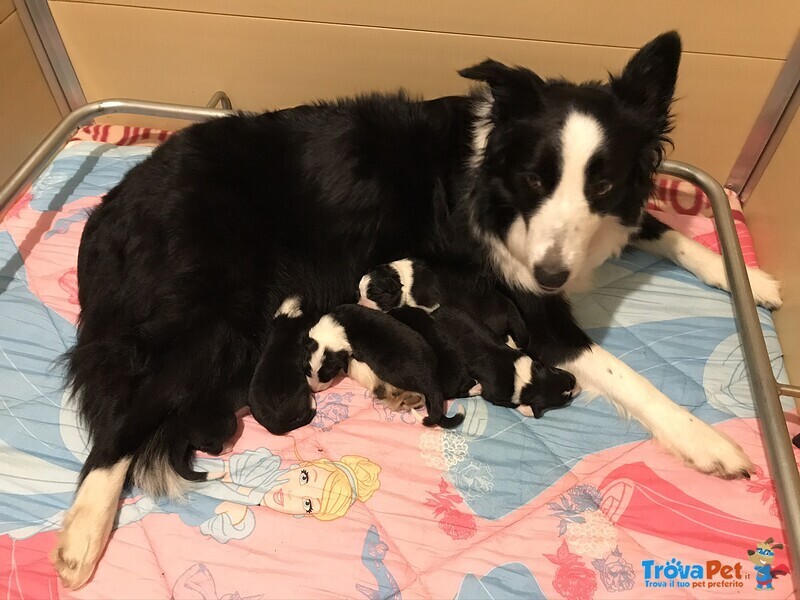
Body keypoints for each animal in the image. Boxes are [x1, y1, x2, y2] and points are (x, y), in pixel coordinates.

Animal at [360, 256, 528, 346]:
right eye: (359, 293)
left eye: (374, 295)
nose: (360, 304)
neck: (399, 277)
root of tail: (509, 305)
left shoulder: (429, 304)